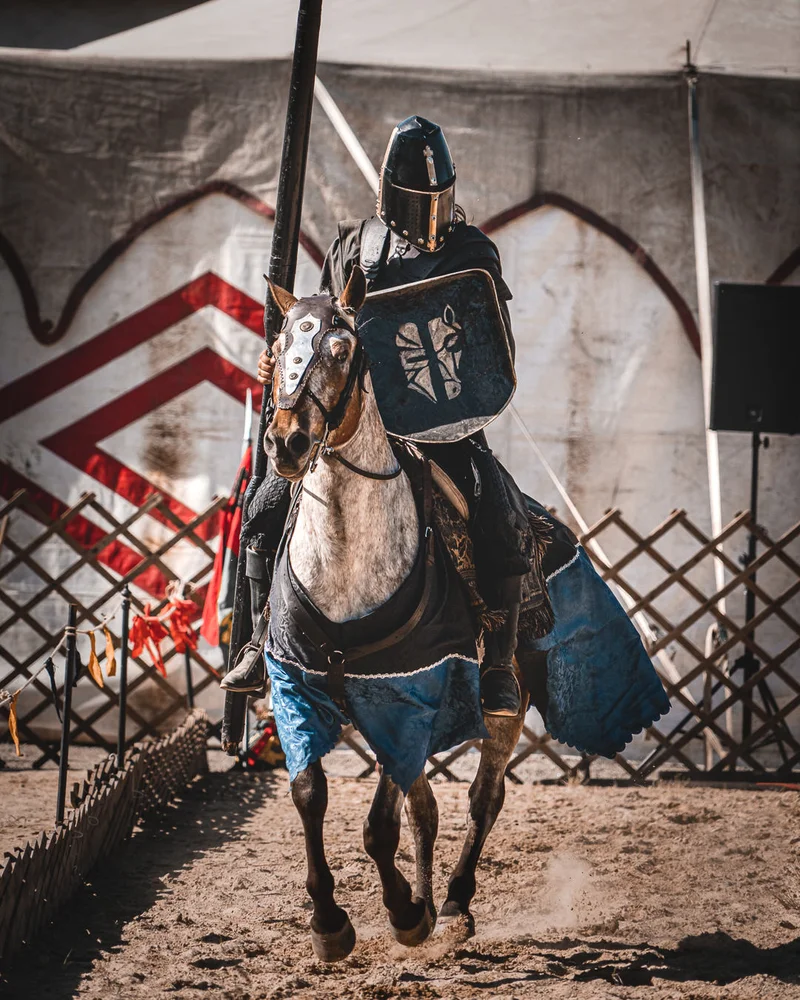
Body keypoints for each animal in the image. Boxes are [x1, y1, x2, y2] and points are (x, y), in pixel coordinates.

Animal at [261, 265, 530, 962]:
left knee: (483, 795)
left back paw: (453, 903)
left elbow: (381, 824)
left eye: (342, 349)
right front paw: (330, 921)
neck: (346, 563)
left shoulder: (402, 695)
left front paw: (405, 912)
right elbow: (309, 793)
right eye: (279, 348)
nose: (287, 442)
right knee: (426, 805)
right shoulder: (294, 687)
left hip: (505, 702)